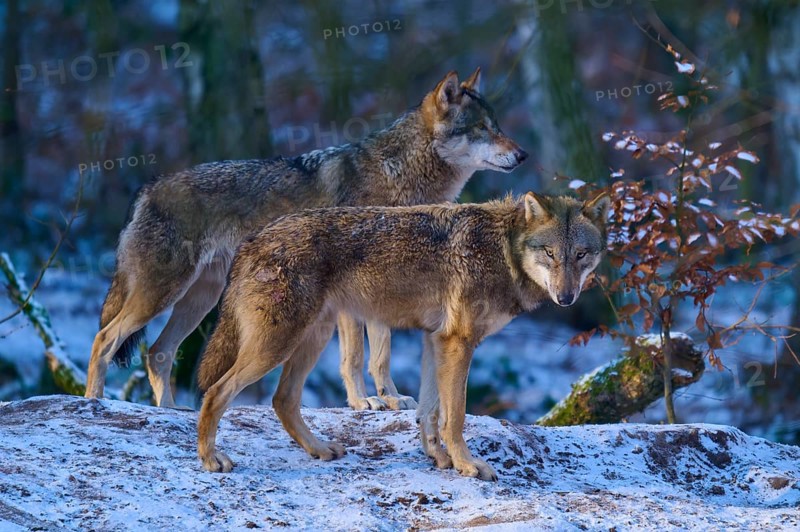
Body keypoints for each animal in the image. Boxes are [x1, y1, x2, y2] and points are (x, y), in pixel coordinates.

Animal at [84, 68, 528, 409]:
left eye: (499, 127)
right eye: (482, 129)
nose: (523, 155)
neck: (399, 177)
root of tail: (146, 188)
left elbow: (381, 355)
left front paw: (391, 398)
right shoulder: (353, 297)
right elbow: (355, 358)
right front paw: (362, 402)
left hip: (199, 299)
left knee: (157, 353)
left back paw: (169, 411)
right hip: (163, 294)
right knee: (106, 338)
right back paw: (94, 401)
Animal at [195, 192, 610, 481]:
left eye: (581, 254)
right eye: (550, 253)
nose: (566, 297)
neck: (503, 249)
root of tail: (251, 240)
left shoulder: (434, 340)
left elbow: (430, 412)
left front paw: (439, 458)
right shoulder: (458, 343)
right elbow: (455, 416)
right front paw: (467, 464)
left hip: (313, 338)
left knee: (283, 400)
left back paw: (320, 449)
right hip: (279, 344)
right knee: (216, 392)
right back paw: (210, 459)